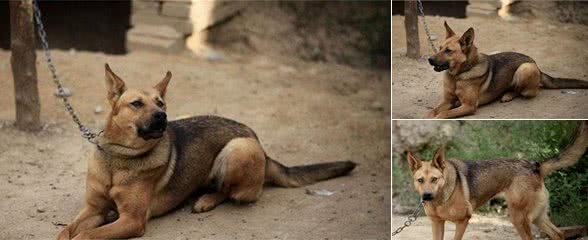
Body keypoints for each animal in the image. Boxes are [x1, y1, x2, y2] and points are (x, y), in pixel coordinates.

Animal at [56, 63, 358, 240]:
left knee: (232, 191)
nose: (162, 117)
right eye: (137, 104)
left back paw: (206, 200)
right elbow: (67, 232)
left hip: (237, 149)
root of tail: (258, 142)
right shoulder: (93, 209)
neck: (119, 159)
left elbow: (85, 236)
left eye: (160, 103)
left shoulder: (132, 220)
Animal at [408, 122, 588, 240]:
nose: (427, 196)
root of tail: (535, 166)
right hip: (537, 217)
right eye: (420, 180)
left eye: (434, 179)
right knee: (559, 234)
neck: (440, 200)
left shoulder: (462, 221)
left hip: (519, 219)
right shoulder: (437, 223)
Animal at [424, 21, 588, 118]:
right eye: (439, 48)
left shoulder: (469, 106)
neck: (458, 76)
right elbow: (432, 111)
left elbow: (443, 114)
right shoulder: (447, 100)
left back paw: (508, 95)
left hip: (524, 69)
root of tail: (536, 65)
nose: (429, 59)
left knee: (525, 91)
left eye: (448, 51)